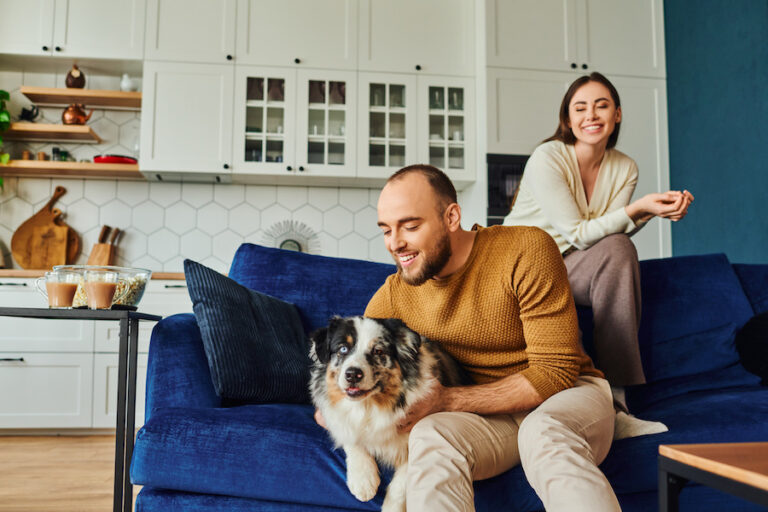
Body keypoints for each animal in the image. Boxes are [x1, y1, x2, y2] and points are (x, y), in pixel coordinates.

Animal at [308, 316, 464, 512]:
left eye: (378, 351)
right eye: (343, 349)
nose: (353, 374)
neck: (368, 407)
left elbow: (401, 485)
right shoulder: (339, 418)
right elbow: (351, 437)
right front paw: (363, 481)